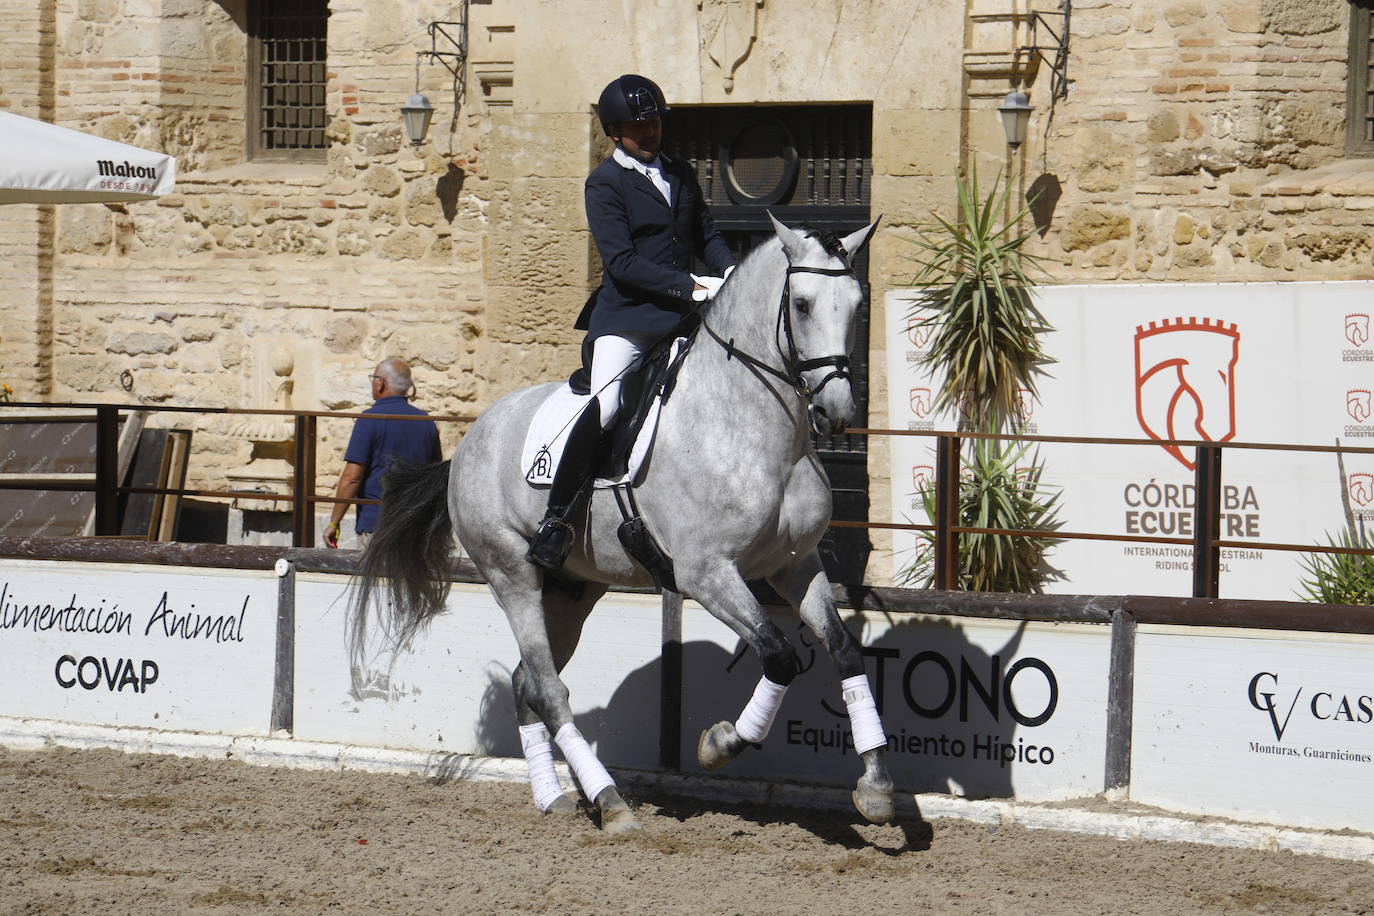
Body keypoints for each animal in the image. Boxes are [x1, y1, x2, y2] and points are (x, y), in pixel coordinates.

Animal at [348, 215, 895, 840]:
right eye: (801, 305)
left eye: (857, 304)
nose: (838, 414)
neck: (756, 431)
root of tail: (468, 442)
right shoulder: (706, 574)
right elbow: (780, 655)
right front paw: (718, 743)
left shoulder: (794, 565)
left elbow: (845, 652)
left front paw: (876, 788)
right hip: (511, 573)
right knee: (548, 687)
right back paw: (610, 803)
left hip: (571, 588)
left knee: (526, 681)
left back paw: (554, 797)